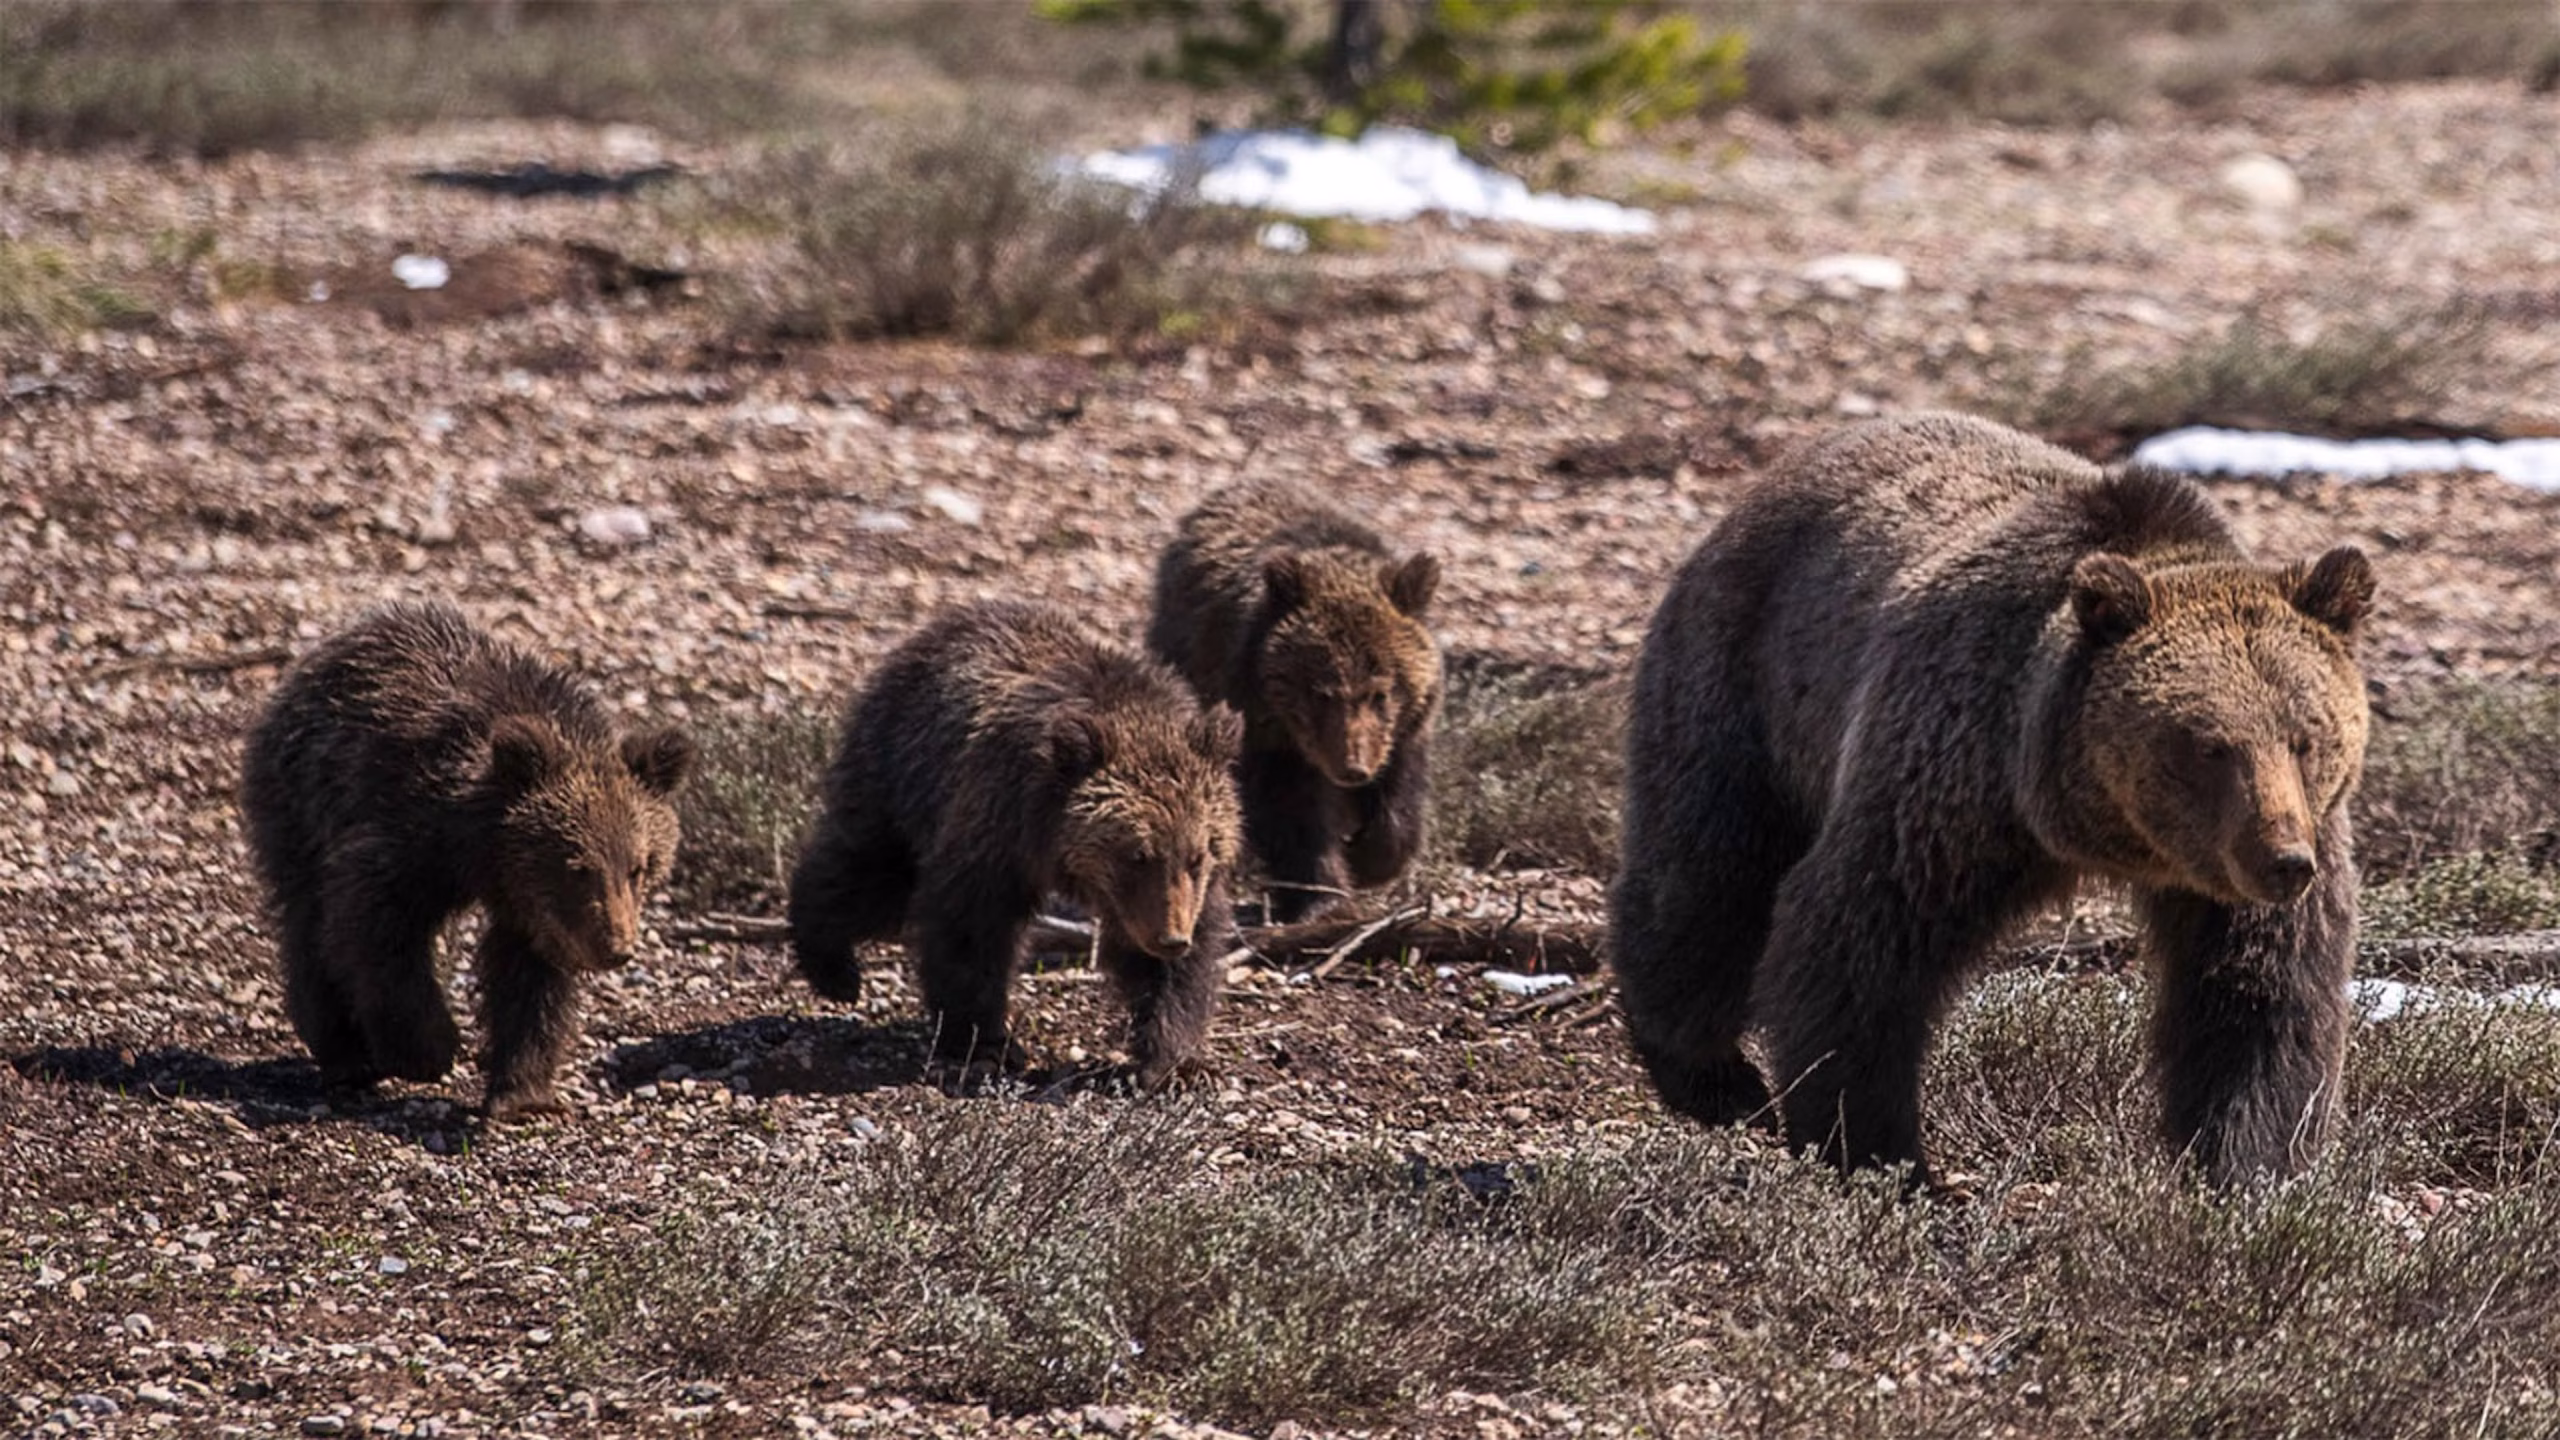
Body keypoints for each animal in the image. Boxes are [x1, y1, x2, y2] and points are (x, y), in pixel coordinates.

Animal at [240, 601, 694, 1121]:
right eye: (576, 866)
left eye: (639, 866)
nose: (617, 947)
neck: (485, 852)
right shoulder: (410, 832)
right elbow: (376, 927)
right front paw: (427, 1049)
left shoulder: (533, 911)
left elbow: (528, 980)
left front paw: (524, 1093)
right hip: (299, 800)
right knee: (309, 924)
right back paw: (347, 1058)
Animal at [786, 600, 1245, 1085]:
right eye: (1137, 855)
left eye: (1198, 856)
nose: (1171, 938)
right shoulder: (999, 822)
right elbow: (972, 926)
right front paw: (985, 1041)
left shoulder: (1170, 893)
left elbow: (1174, 970)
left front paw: (1171, 1059)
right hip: (901, 771)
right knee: (870, 873)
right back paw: (833, 969)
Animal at [1146, 477, 1442, 923]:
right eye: (1320, 691)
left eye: (1381, 691)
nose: (1352, 767)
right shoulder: (1266, 728)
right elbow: (1292, 814)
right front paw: (1321, 896)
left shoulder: (1404, 735)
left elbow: (1399, 800)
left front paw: (1371, 857)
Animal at [1610, 412, 2375, 1188]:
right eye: (2207, 746)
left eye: (2306, 738)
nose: (2283, 860)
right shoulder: (1956, 778)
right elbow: (1859, 938)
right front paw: (1882, 1154)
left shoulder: (2257, 864)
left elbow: (2261, 995)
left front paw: (2252, 1166)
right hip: (1748, 686)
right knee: (1709, 876)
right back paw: (1712, 1076)